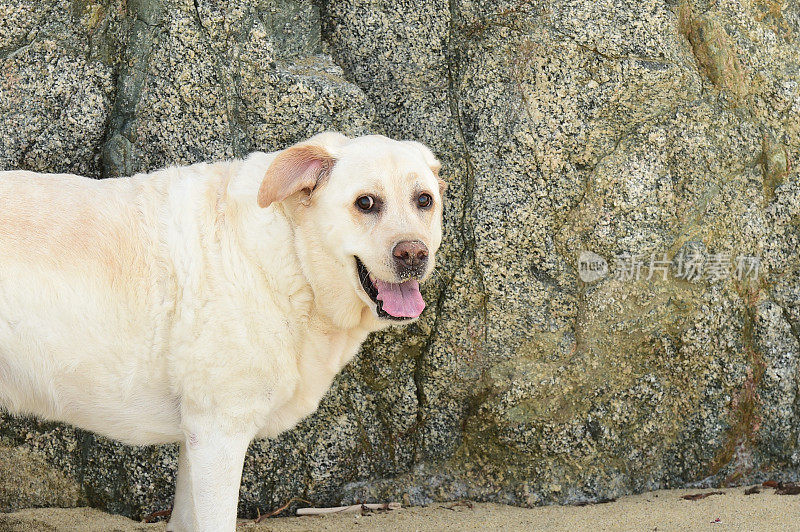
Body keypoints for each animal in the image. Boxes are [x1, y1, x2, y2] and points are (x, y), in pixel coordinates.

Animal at [0, 132, 444, 528]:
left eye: (424, 200)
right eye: (365, 203)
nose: (413, 253)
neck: (290, 256)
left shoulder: (195, 441)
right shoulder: (219, 434)